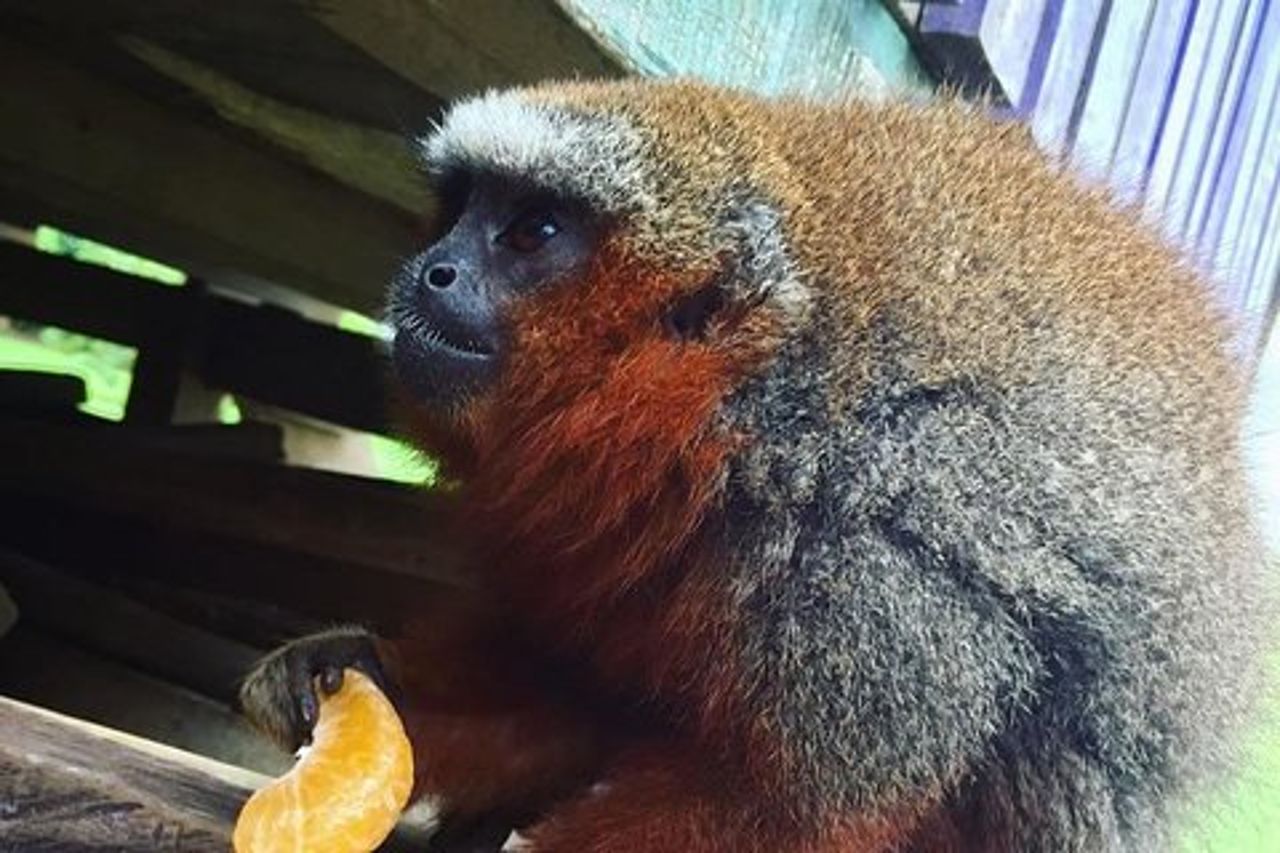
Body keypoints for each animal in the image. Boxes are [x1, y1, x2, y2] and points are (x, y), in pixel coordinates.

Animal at [240, 79, 1275, 852]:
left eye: (532, 232)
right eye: (460, 213)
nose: (434, 270)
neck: (741, 422)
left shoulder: (875, 591)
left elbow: (794, 810)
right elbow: (561, 691)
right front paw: (353, 669)